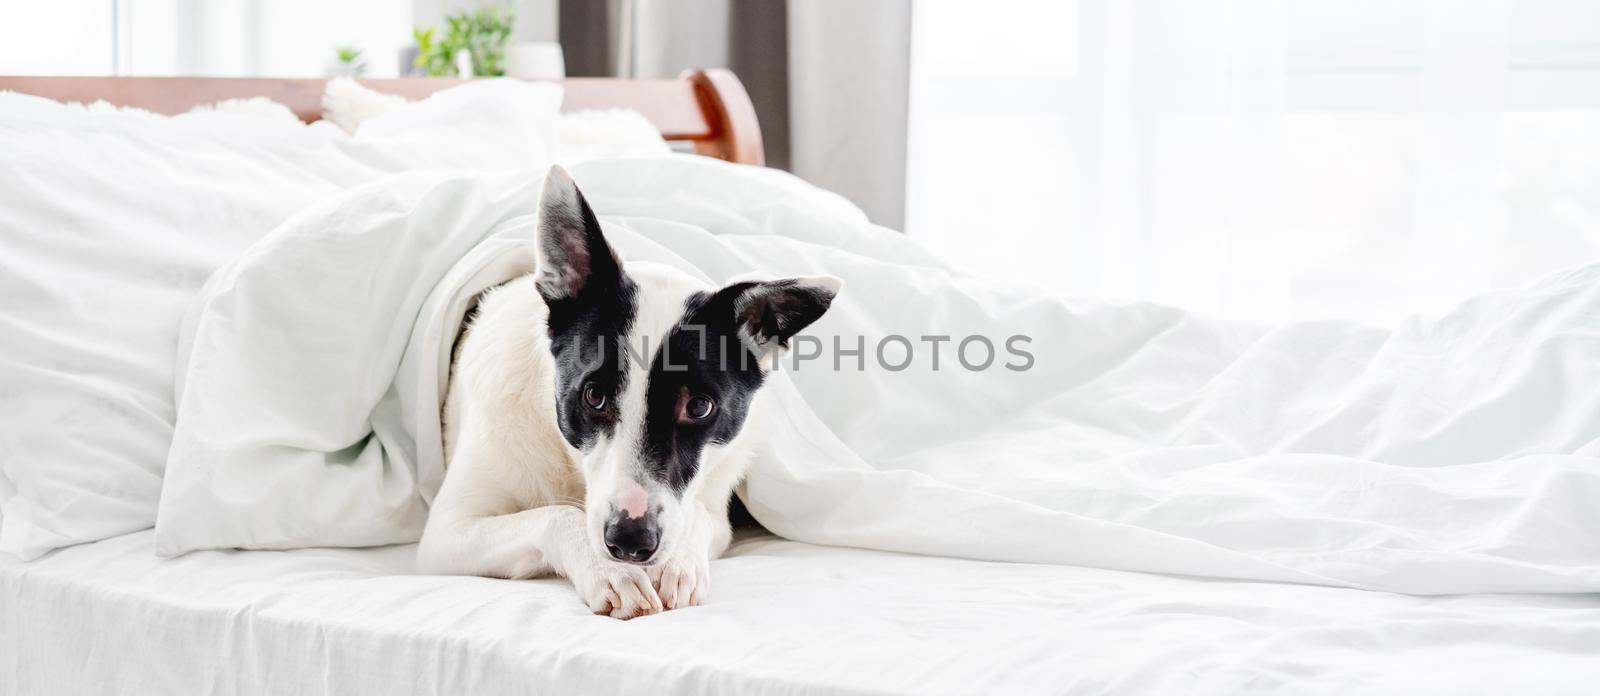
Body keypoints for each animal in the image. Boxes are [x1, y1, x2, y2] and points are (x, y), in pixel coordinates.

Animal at [419, 164, 844, 620]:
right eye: (593, 397)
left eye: (699, 406)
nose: (630, 541)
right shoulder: (447, 534)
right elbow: (555, 516)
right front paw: (609, 571)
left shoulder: (717, 510)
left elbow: (695, 514)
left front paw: (679, 564)